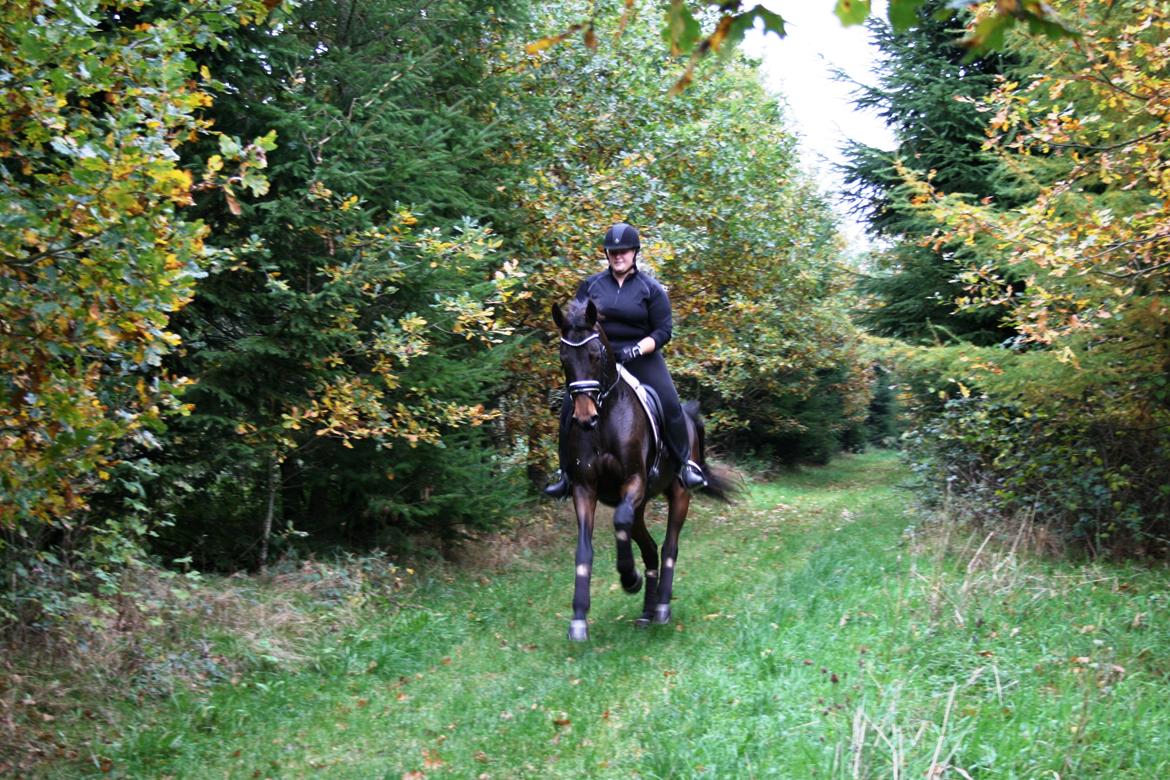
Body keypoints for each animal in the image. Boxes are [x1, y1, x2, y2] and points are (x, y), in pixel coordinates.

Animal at [547, 297, 730, 640]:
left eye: (595, 355)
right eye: (564, 359)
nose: (585, 418)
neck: (605, 420)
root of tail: (689, 416)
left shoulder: (633, 481)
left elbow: (619, 522)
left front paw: (629, 578)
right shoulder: (584, 488)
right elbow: (584, 549)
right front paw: (578, 617)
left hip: (678, 494)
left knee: (669, 546)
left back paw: (661, 607)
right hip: (641, 505)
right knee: (649, 547)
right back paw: (647, 610)